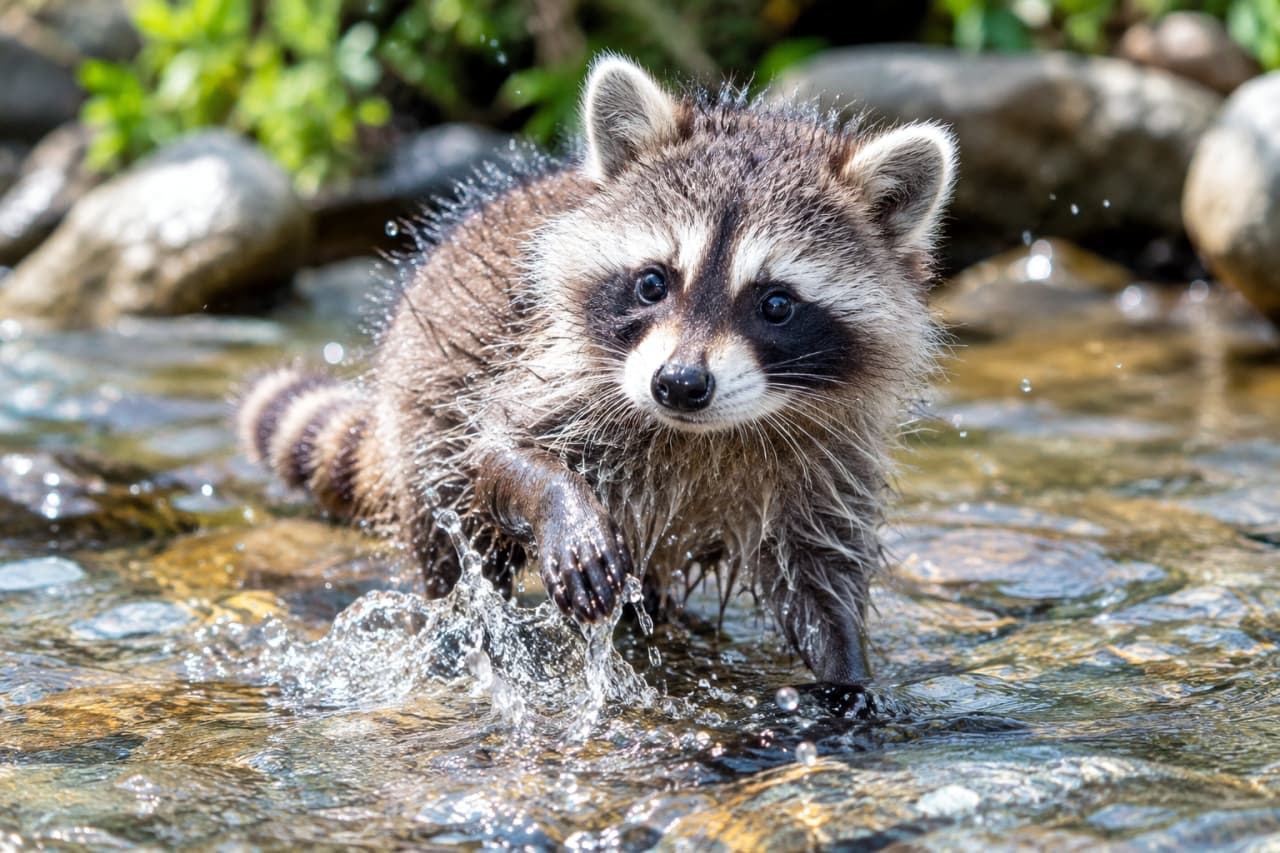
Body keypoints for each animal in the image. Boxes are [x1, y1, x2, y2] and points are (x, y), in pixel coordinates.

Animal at [237, 56, 957, 685]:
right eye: (653, 282)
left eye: (776, 303)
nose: (679, 386)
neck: (703, 432)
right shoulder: (547, 362)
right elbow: (494, 446)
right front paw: (562, 504)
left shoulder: (832, 457)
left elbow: (821, 580)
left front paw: (848, 674)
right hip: (422, 405)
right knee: (457, 542)